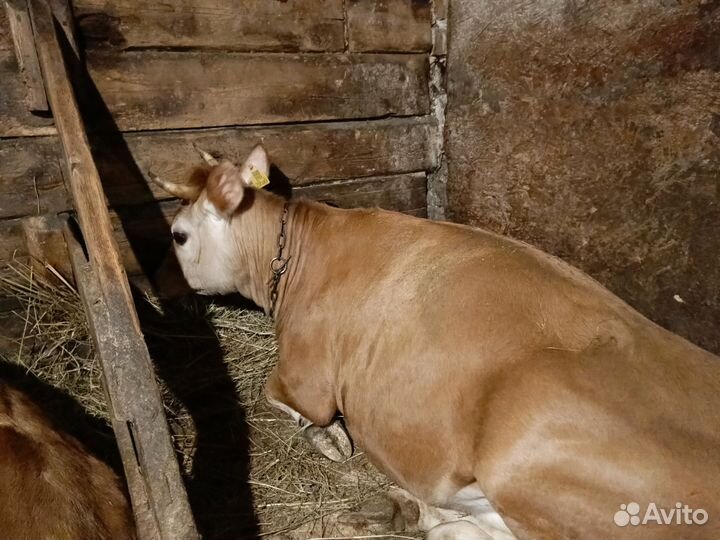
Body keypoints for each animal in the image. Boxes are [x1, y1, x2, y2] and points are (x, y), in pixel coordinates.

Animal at [152, 144, 720, 540]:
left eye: (177, 235)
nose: (155, 287)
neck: (292, 259)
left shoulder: (304, 376)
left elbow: (283, 400)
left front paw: (328, 438)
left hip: (520, 462)